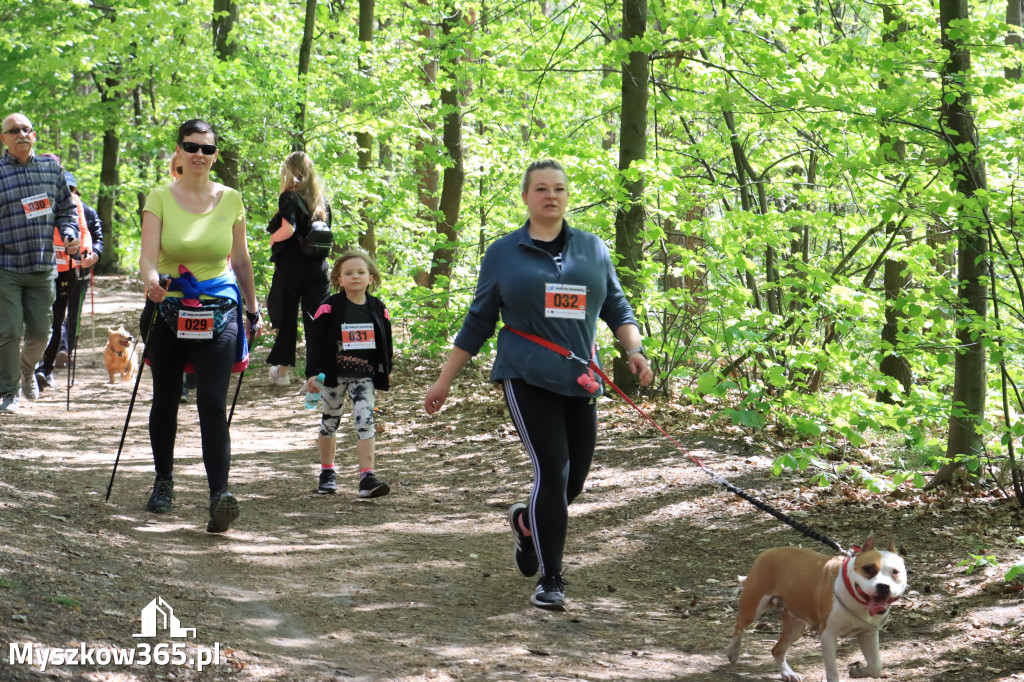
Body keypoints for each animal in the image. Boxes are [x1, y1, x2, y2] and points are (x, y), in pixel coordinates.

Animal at [724, 532, 909, 675]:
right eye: (869, 569)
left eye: (895, 572)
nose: (883, 586)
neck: (856, 601)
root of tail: (769, 551)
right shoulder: (828, 635)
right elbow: (832, 672)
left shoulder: (868, 634)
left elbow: (876, 667)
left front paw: (858, 672)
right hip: (753, 607)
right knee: (739, 624)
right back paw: (734, 652)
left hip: (795, 627)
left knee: (777, 649)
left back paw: (787, 674)